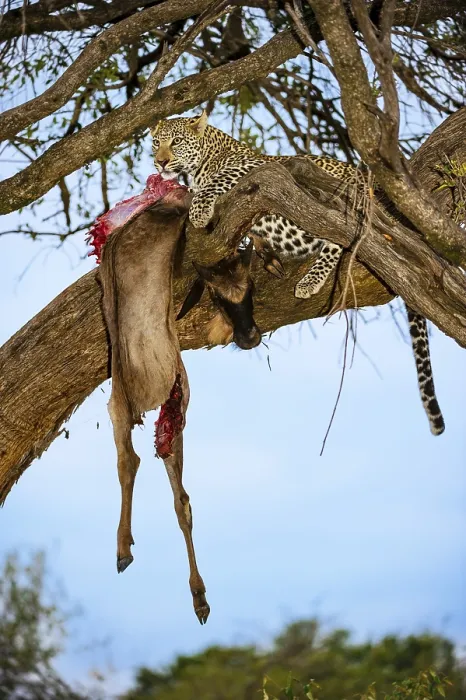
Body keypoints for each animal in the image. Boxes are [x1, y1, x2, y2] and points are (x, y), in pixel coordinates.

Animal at [150, 111, 445, 436]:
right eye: (156, 142)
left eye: (176, 141)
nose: (160, 162)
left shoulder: (255, 168)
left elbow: (217, 182)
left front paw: (200, 210)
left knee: (339, 236)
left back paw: (309, 281)